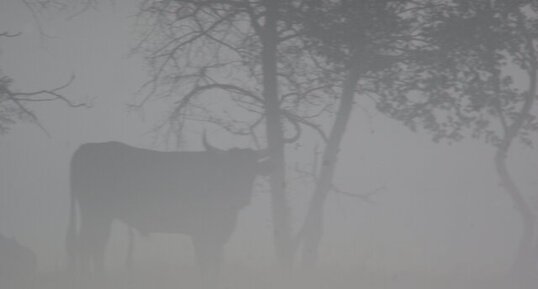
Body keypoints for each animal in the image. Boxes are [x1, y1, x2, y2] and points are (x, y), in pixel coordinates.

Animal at [66, 136, 268, 286]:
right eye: (230, 170)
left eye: (251, 172)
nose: (241, 199)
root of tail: (86, 148)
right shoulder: (201, 234)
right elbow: (204, 263)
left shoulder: (217, 235)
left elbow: (216, 263)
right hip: (96, 214)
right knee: (90, 245)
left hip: (97, 216)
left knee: (90, 244)